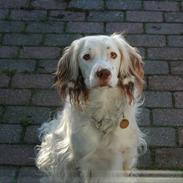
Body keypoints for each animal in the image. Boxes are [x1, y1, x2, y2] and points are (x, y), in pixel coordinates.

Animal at [36, 33, 146, 182]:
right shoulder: (83, 160)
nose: (103, 73)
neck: (102, 105)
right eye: (86, 56)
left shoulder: (127, 156)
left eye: (113, 55)